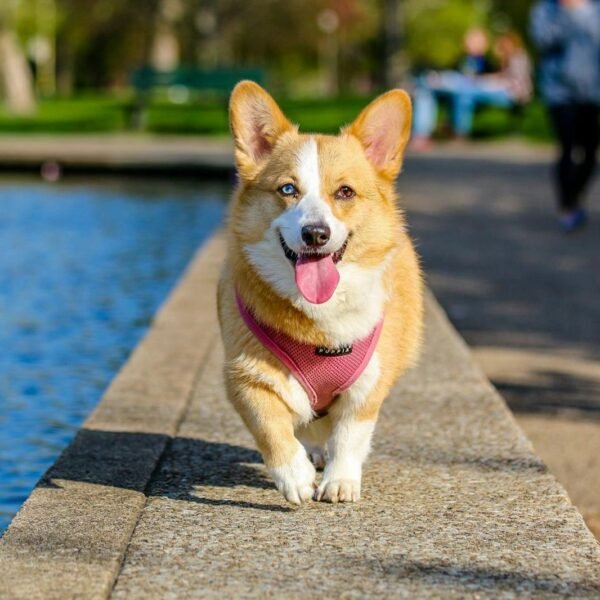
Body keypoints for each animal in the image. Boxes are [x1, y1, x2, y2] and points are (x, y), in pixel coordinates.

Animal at [217, 79, 422, 502]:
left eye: (344, 192)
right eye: (287, 189)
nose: (315, 234)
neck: (320, 320)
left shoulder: (368, 385)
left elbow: (349, 435)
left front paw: (340, 481)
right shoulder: (244, 376)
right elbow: (271, 427)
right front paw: (294, 477)